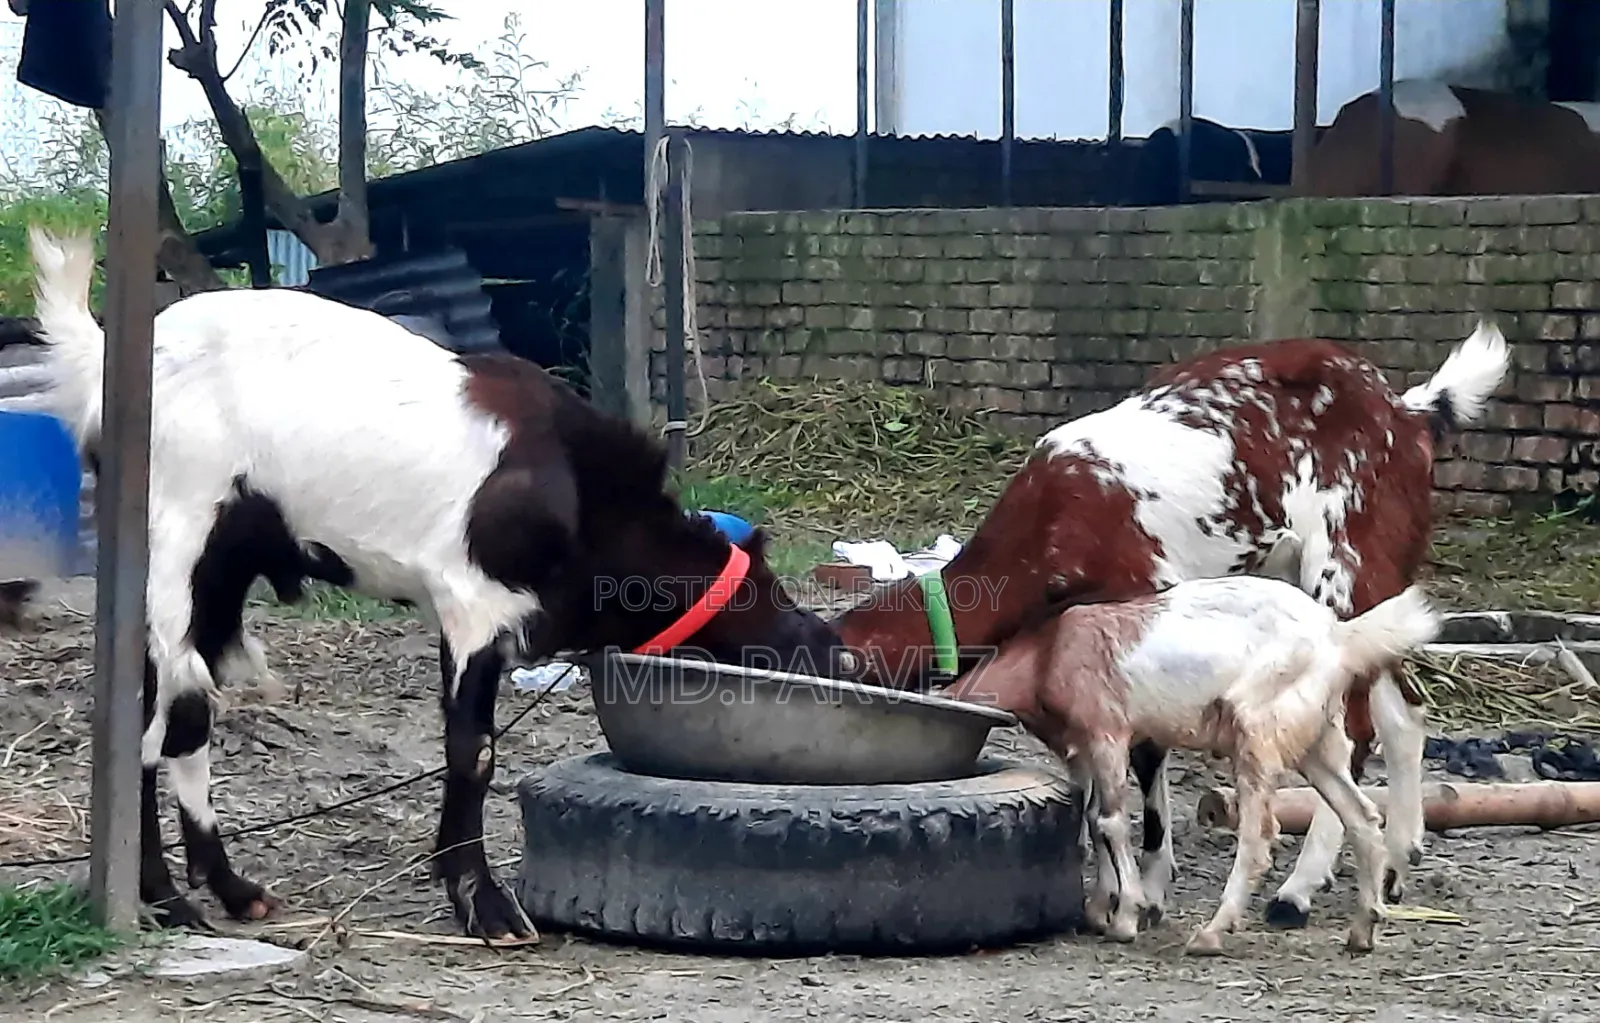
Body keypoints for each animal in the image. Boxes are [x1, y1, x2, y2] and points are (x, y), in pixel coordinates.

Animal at [25, 227, 850, 939]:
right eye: (782, 611)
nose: (842, 656)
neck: (580, 494)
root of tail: (108, 362)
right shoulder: (473, 603)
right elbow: (473, 748)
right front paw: (484, 904)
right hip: (175, 540)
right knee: (165, 715)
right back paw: (167, 899)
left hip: (222, 571)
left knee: (183, 713)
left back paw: (230, 889)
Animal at [949, 575, 1441, 955]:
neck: (1048, 654)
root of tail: (1338, 639)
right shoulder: (1081, 749)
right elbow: (1090, 818)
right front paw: (1100, 910)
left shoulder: (1108, 734)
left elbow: (1110, 822)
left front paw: (1126, 917)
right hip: (1315, 741)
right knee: (1361, 816)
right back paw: (1363, 929)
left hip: (1259, 731)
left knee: (1259, 835)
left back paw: (1212, 932)